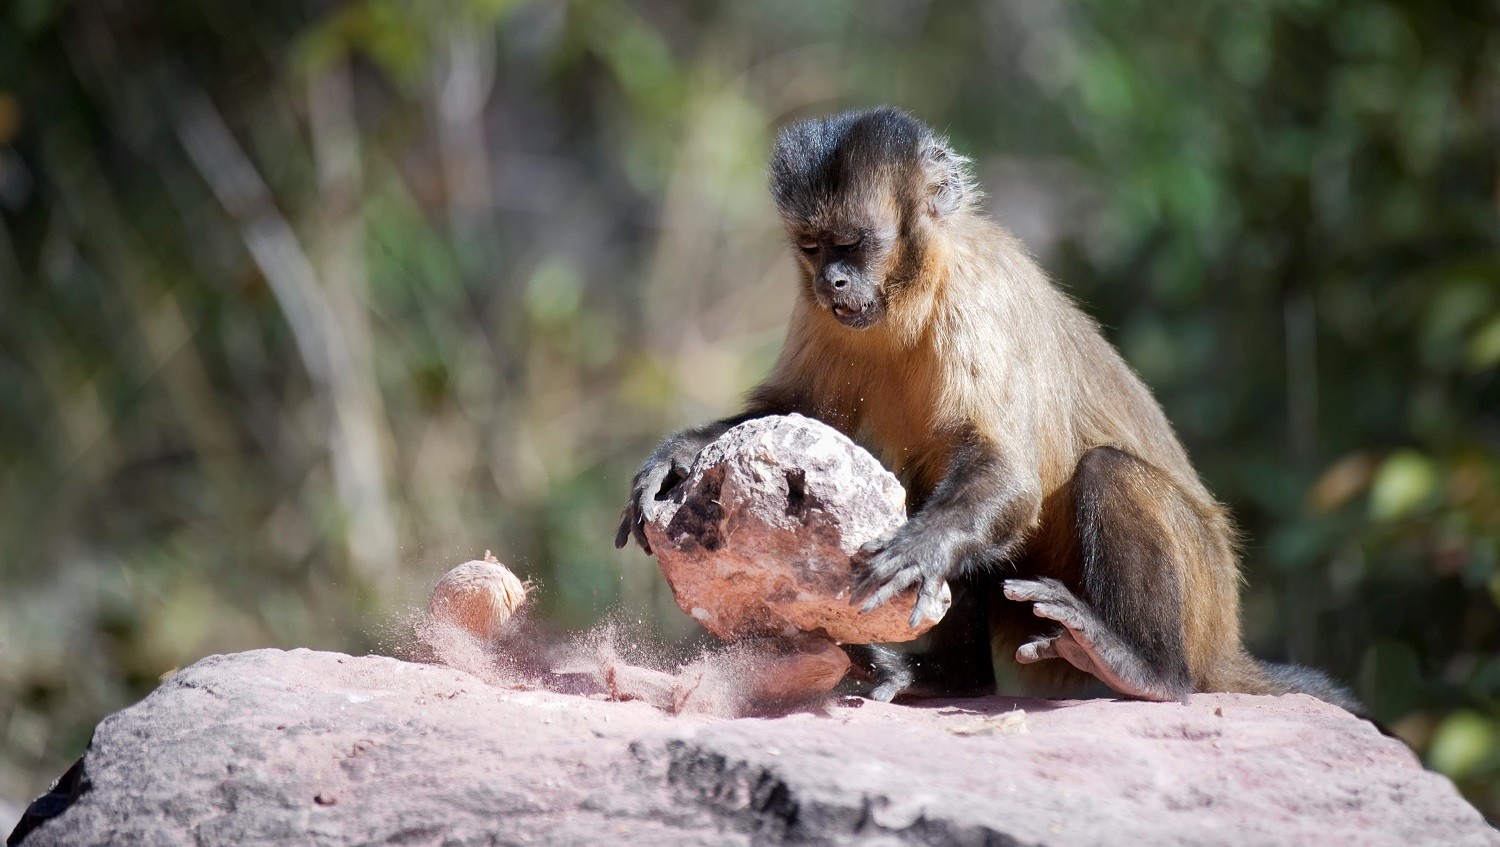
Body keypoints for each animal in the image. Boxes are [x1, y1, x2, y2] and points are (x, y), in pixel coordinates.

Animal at [618, 107, 1362, 713]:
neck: (917, 290)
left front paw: (919, 548)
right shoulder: (818, 313)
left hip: (1204, 599)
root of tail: (1226, 643)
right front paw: (682, 452)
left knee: (1107, 472)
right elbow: (799, 411)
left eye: (853, 244)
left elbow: (1008, 472)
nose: (833, 280)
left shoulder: (975, 296)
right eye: (813, 248)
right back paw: (954, 680)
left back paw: (1145, 668)